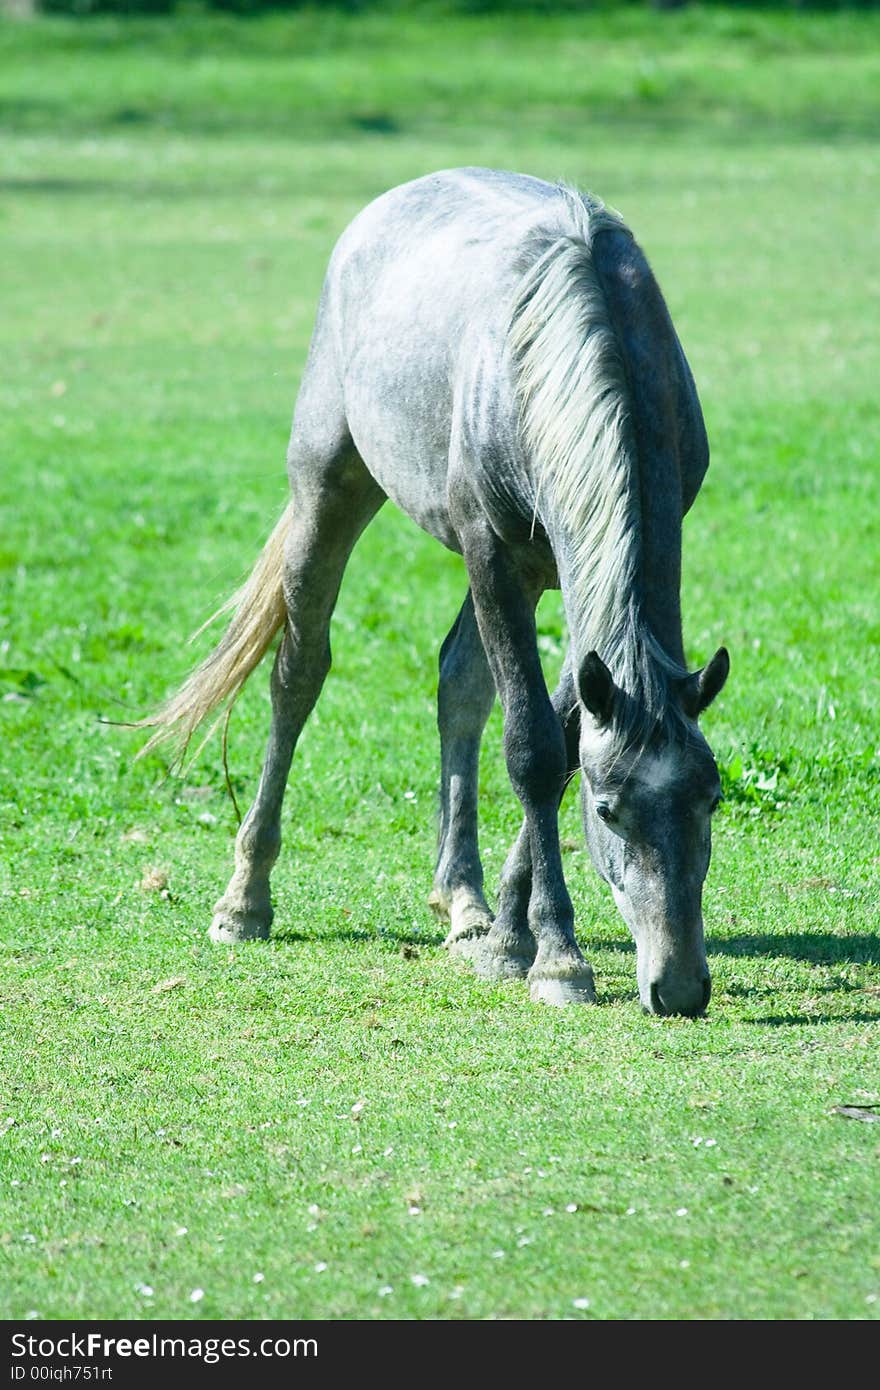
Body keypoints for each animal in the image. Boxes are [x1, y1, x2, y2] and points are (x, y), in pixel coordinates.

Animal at [140, 170, 728, 1023]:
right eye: (609, 810)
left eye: (711, 801)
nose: (678, 987)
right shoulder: (491, 553)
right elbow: (533, 748)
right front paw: (551, 957)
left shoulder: (566, 578)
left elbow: (559, 738)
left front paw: (506, 930)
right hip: (330, 491)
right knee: (298, 674)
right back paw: (245, 899)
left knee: (461, 683)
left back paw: (465, 900)